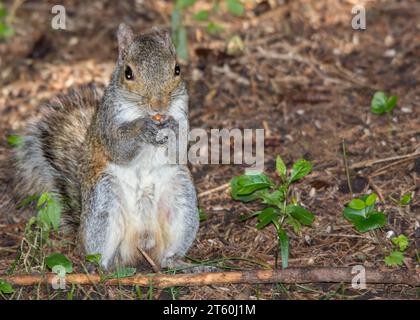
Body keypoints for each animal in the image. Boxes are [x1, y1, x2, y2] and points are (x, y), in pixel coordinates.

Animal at [14, 23, 200, 272]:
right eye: (128, 73)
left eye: (177, 69)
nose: (159, 105)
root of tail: (141, 245)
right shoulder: (108, 123)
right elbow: (118, 149)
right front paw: (142, 127)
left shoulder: (181, 112)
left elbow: (178, 150)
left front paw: (171, 126)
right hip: (104, 203)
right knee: (101, 255)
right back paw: (102, 268)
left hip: (181, 197)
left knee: (167, 255)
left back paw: (182, 264)